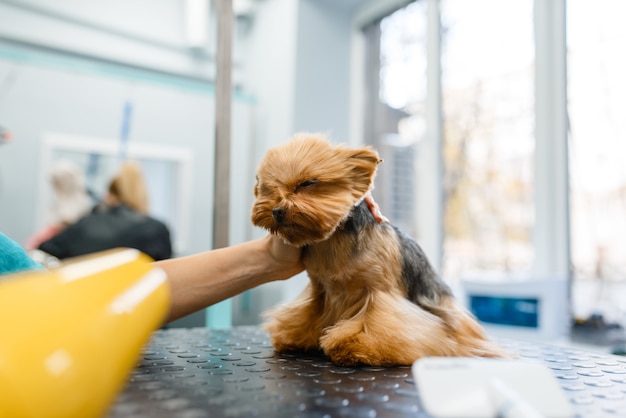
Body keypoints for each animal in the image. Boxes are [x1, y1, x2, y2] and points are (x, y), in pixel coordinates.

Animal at [249, 132, 502, 364]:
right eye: (268, 188)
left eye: (307, 183)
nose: (277, 211)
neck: (332, 241)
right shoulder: (319, 289)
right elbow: (307, 313)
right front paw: (295, 337)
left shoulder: (379, 291)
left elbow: (374, 322)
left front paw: (354, 344)